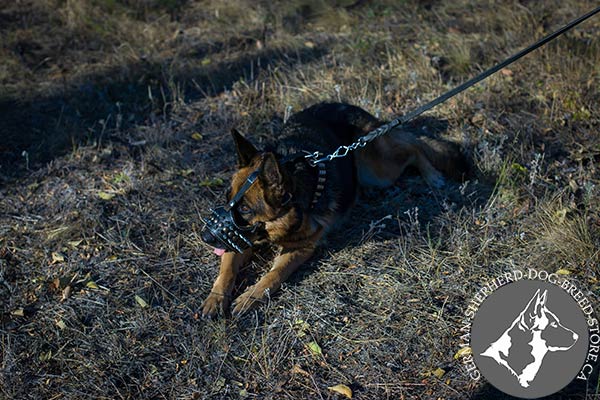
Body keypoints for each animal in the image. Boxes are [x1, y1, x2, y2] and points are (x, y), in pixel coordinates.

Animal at [199, 103, 466, 318]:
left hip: (378, 169)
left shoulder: (300, 249)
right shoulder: (235, 241)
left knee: (414, 149)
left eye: (244, 209)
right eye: (227, 199)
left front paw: (250, 296)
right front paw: (216, 298)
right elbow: (227, 269)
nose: (204, 237)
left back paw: (433, 176)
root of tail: (351, 106)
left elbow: (272, 276)